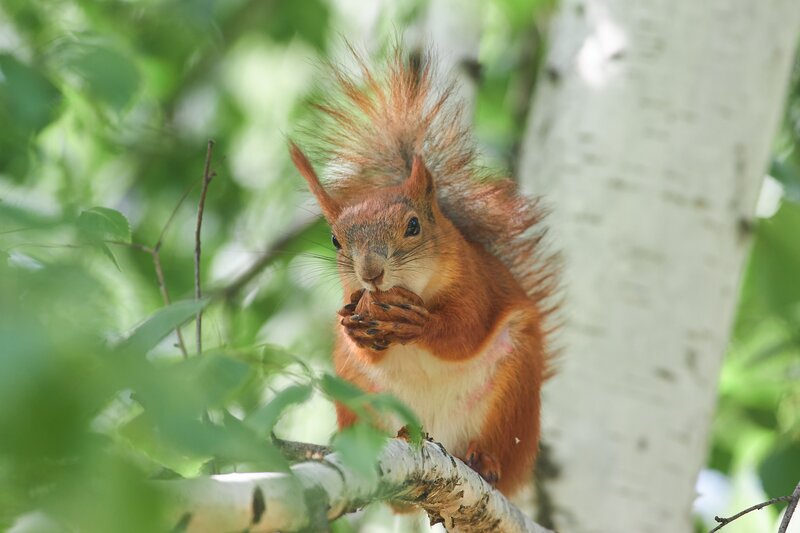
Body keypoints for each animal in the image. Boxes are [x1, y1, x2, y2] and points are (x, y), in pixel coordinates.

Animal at [289, 47, 558, 497]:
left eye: (413, 226)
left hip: (513, 394)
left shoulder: (475, 283)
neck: (411, 287)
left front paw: (419, 323)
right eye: (335, 241)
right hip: (355, 390)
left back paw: (486, 461)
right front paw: (354, 330)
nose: (371, 272)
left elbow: (464, 330)